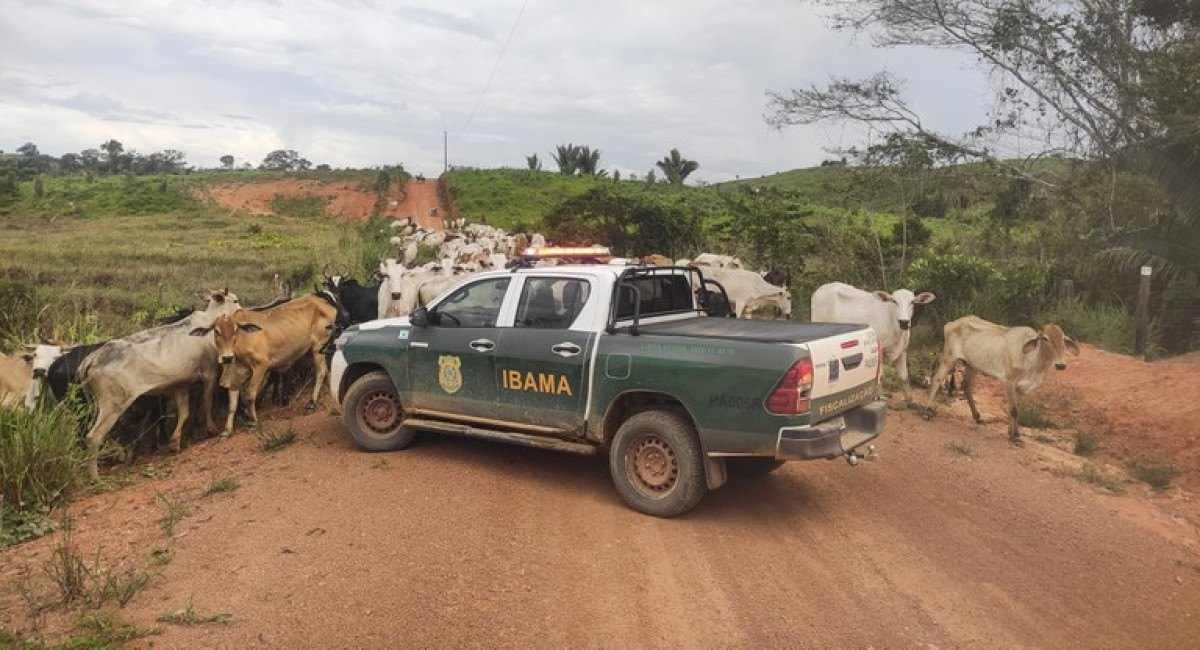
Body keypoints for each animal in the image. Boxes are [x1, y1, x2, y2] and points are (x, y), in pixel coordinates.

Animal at [208, 295, 340, 438]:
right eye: (216, 331)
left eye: (235, 330)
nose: (227, 357)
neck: (242, 341)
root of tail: (323, 301)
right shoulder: (236, 374)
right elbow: (232, 403)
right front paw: (227, 430)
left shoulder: (261, 366)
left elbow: (250, 395)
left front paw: (253, 421)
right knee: (328, 370)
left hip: (318, 346)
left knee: (321, 371)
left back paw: (312, 403)